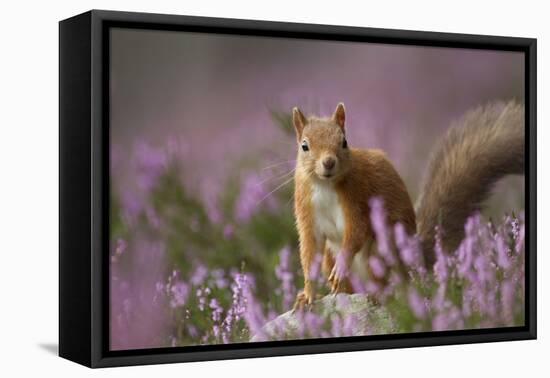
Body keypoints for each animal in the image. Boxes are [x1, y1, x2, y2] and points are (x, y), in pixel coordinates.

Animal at [294, 102, 528, 308]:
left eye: (344, 142)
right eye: (304, 146)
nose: (329, 162)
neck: (325, 185)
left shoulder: (358, 198)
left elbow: (356, 232)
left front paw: (341, 268)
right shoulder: (307, 211)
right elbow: (309, 250)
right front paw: (308, 295)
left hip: (381, 250)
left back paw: (378, 295)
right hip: (330, 258)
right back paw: (341, 292)